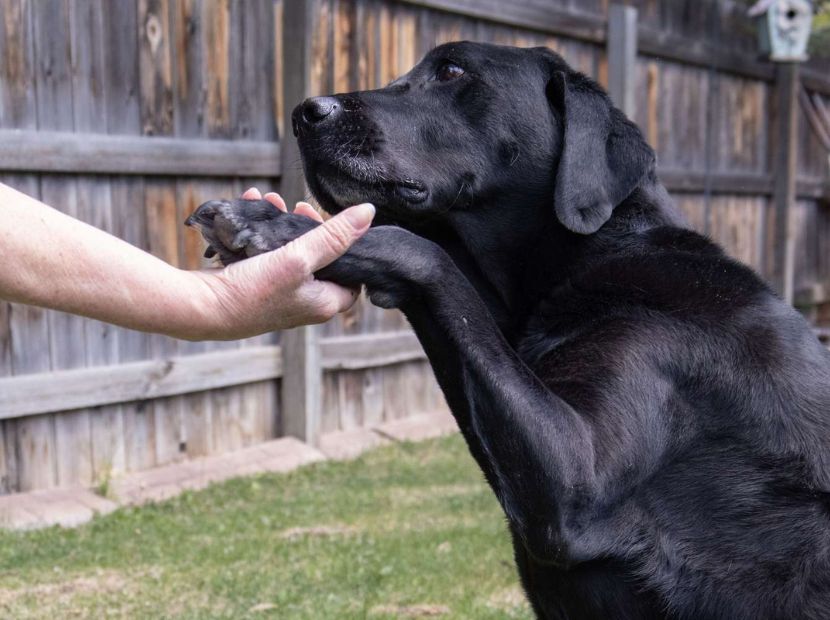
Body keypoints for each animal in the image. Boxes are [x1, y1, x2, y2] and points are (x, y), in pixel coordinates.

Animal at [188, 42, 830, 616]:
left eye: (451, 70)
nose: (304, 112)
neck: (591, 253)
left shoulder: (573, 479)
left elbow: (421, 252)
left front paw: (273, 224)